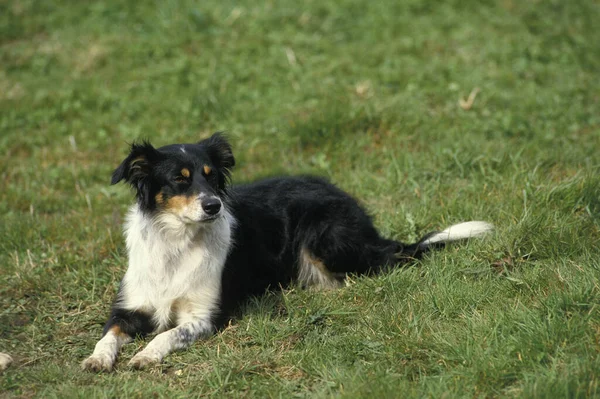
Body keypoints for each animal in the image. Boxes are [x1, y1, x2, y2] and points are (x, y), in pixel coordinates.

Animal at [81, 134, 492, 372]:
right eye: (178, 180)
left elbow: (168, 334)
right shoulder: (128, 307)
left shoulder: (205, 317)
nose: (214, 205)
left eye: (212, 177)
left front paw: (145, 355)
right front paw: (96, 359)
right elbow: (107, 335)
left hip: (325, 239)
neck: (178, 243)